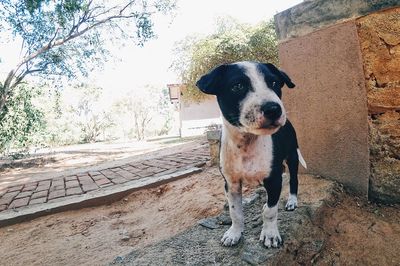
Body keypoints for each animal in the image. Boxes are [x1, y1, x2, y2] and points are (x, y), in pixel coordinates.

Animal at [196, 61, 306, 248]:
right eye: (238, 86)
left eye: (274, 83)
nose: (274, 109)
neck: (246, 143)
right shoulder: (231, 183)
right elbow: (235, 212)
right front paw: (234, 233)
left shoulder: (273, 179)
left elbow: (270, 211)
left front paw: (270, 234)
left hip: (292, 156)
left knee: (293, 180)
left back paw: (292, 201)